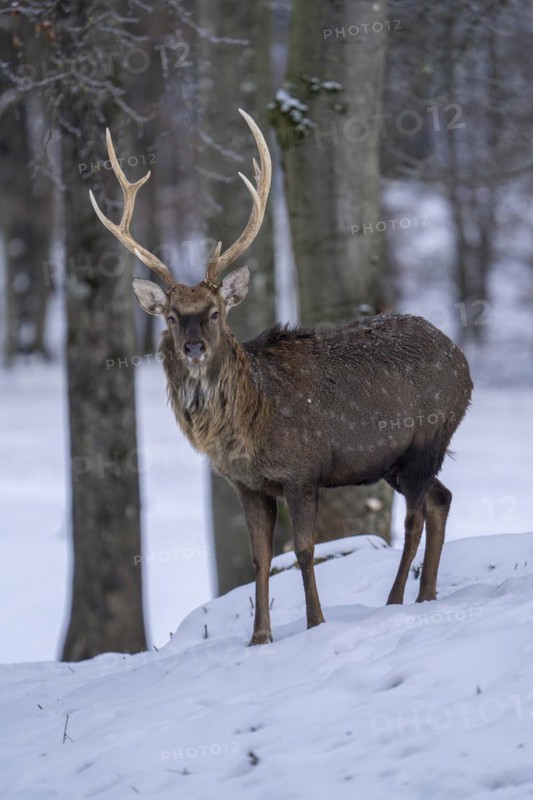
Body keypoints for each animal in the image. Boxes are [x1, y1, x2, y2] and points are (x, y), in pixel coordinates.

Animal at [90, 110, 473, 645]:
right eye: (171, 316)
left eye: (214, 312)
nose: (193, 347)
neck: (250, 423)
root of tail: (463, 361)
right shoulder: (246, 485)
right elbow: (261, 558)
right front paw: (259, 637)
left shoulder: (302, 471)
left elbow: (306, 550)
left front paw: (315, 623)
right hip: (394, 461)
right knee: (442, 499)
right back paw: (426, 596)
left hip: (428, 438)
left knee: (416, 516)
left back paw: (397, 600)